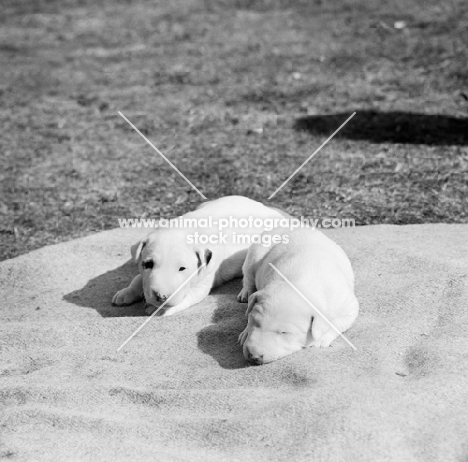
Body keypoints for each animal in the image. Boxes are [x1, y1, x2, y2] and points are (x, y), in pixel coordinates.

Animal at [112, 195, 288, 318]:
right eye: (148, 264)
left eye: (182, 268)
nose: (161, 297)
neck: (185, 230)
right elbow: (138, 279)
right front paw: (125, 293)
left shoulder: (203, 283)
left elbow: (187, 298)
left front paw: (157, 310)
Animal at [238, 226, 358, 364]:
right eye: (255, 322)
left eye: (284, 332)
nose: (253, 356)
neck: (300, 282)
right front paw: (245, 332)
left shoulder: (347, 304)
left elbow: (339, 322)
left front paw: (321, 339)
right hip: (255, 252)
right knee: (248, 275)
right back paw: (246, 293)